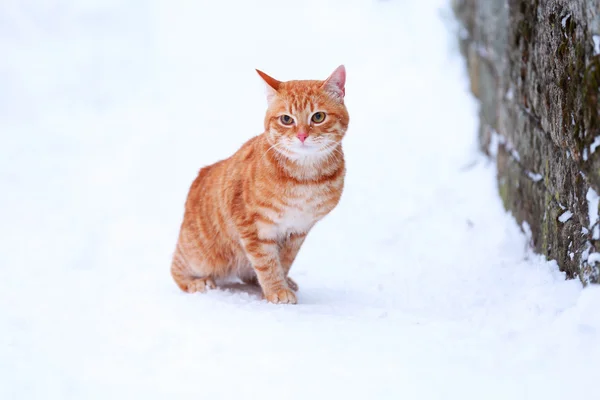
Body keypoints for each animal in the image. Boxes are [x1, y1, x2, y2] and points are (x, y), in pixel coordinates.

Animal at [169, 65, 350, 304]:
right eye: (286, 119)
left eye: (318, 117)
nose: (302, 135)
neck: (304, 178)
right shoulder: (252, 226)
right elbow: (266, 263)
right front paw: (276, 289)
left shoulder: (298, 231)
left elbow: (283, 261)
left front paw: (280, 283)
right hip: (199, 255)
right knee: (176, 266)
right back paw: (196, 282)